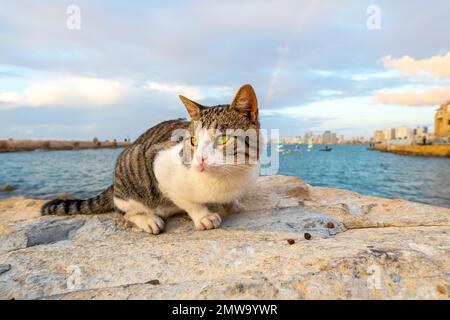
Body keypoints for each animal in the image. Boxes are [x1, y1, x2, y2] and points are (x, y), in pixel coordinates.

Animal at [43, 84, 260, 235]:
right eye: (193, 141)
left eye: (222, 139)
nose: (200, 159)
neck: (226, 179)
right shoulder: (159, 166)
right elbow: (189, 202)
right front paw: (203, 216)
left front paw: (232, 203)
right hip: (131, 167)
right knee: (124, 211)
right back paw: (148, 220)